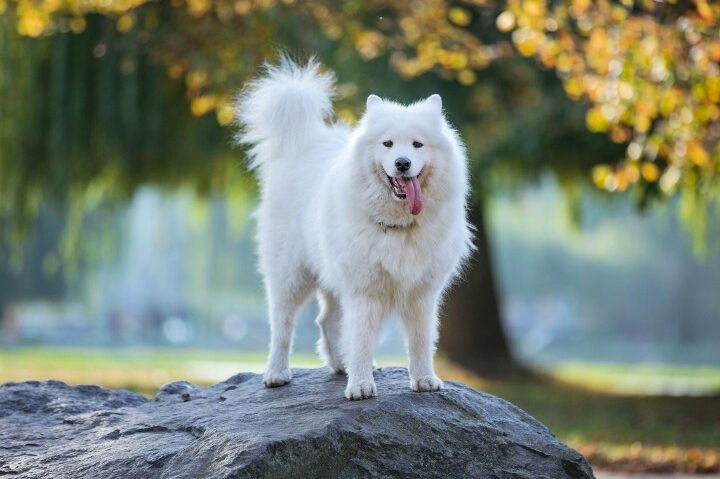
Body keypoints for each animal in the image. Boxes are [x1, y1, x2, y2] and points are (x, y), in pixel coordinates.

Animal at [236, 57, 472, 402]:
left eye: (417, 144)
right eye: (387, 144)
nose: (402, 163)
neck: (399, 226)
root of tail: (306, 143)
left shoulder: (422, 292)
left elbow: (421, 341)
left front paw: (424, 379)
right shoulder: (364, 290)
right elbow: (361, 339)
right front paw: (360, 384)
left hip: (332, 276)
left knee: (326, 321)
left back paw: (339, 365)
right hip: (291, 276)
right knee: (282, 326)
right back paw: (277, 373)